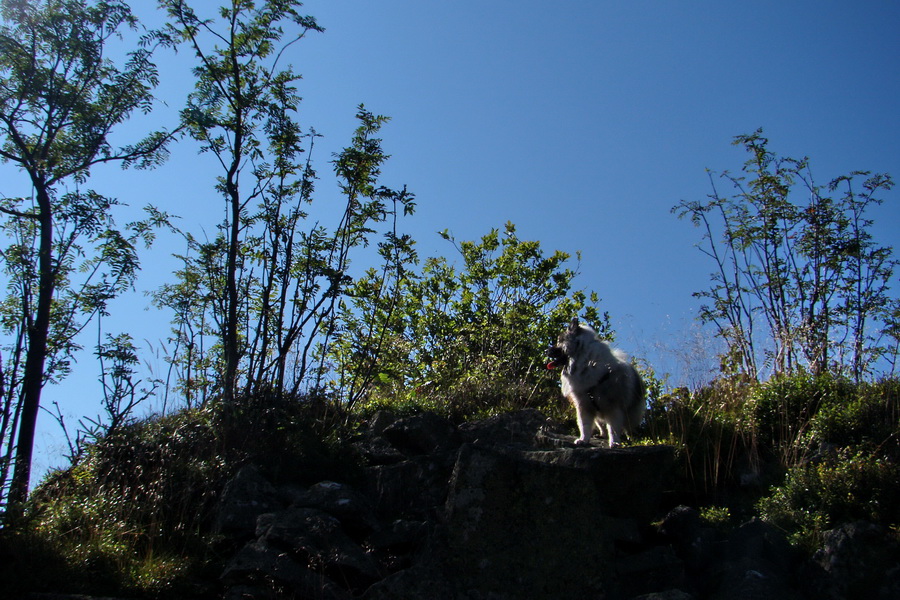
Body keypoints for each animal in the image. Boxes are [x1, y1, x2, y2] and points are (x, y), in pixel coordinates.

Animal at [544, 318, 644, 446]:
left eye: (558, 342)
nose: (546, 350)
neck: (585, 362)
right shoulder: (584, 405)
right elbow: (584, 425)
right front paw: (583, 440)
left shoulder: (614, 408)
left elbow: (613, 429)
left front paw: (615, 443)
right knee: (602, 425)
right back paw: (602, 435)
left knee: (627, 428)